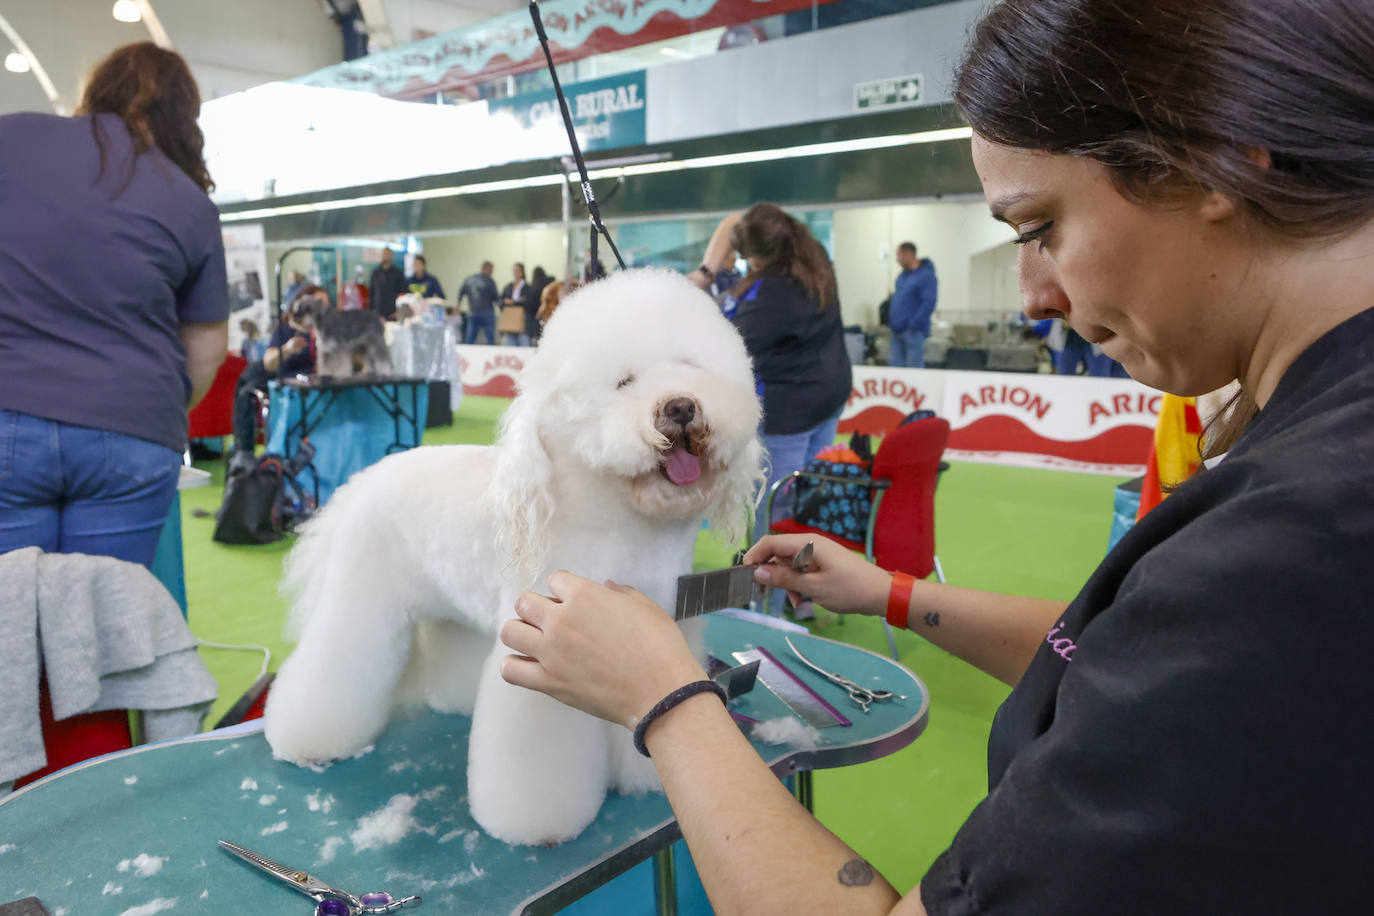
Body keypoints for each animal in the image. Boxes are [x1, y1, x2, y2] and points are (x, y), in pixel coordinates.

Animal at [262, 270, 769, 845]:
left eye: (691, 367)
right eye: (623, 383)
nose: (681, 406)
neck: (620, 526)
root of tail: (363, 478)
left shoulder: (655, 638)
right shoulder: (545, 655)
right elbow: (538, 749)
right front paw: (538, 826)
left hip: (453, 607)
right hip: (362, 598)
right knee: (334, 660)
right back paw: (307, 739)